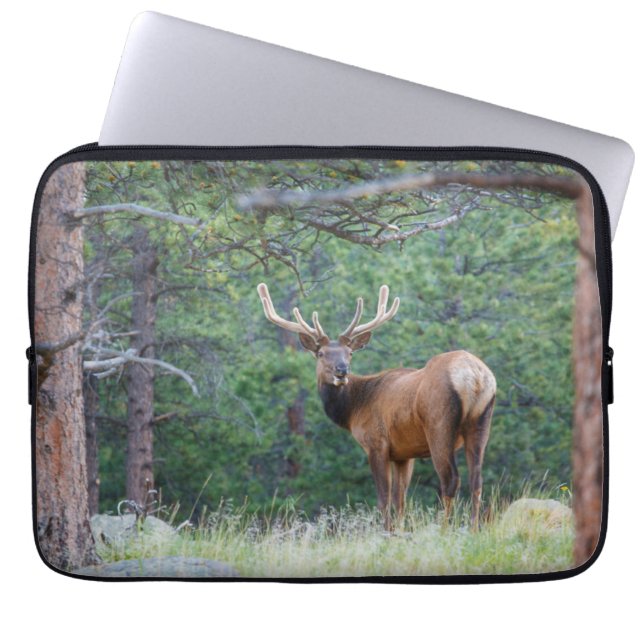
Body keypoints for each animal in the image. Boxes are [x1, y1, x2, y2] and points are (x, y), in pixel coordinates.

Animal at [257, 283, 496, 531]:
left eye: (349, 353)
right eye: (321, 353)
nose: (341, 370)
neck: (353, 410)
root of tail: (476, 376)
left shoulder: (376, 443)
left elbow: (383, 499)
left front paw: (387, 531)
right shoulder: (404, 453)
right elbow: (400, 499)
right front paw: (399, 531)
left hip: (439, 424)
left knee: (450, 480)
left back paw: (444, 529)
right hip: (481, 421)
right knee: (477, 480)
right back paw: (474, 528)